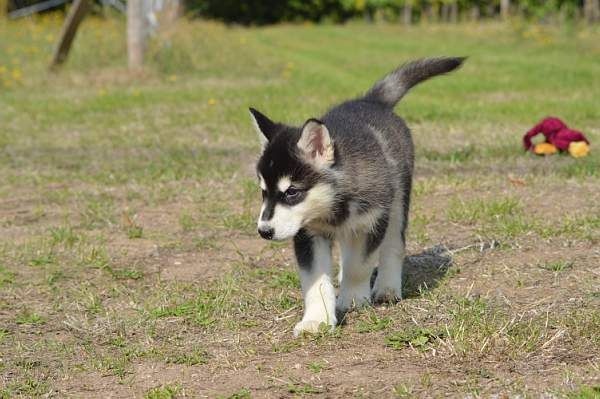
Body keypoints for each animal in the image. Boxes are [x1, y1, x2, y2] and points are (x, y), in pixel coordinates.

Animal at [248, 57, 464, 338]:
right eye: (263, 191)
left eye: (292, 192)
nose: (264, 231)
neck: (333, 205)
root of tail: (370, 101)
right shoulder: (308, 234)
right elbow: (316, 281)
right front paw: (317, 320)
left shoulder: (372, 223)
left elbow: (358, 266)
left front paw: (352, 299)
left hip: (397, 202)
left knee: (393, 244)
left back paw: (387, 287)